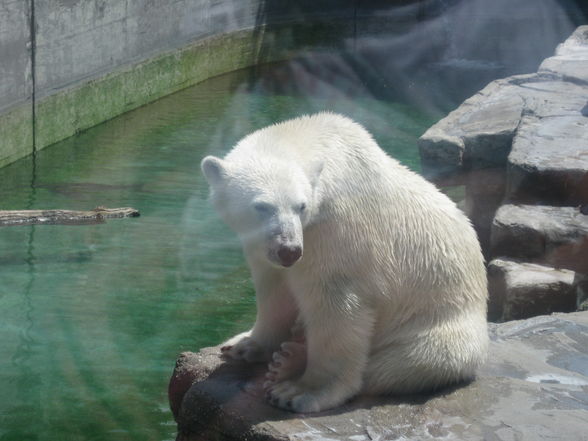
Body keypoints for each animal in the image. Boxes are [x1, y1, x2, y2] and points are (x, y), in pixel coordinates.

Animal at [201, 111, 486, 412]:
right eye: (261, 206)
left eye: (301, 206)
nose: (289, 250)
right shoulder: (263, 246)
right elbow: (274, 289)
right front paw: (244, 345)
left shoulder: (336, 231)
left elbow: (336, 305)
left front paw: (298, 391)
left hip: (438, 327)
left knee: (399, 364)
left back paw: (292, 360)